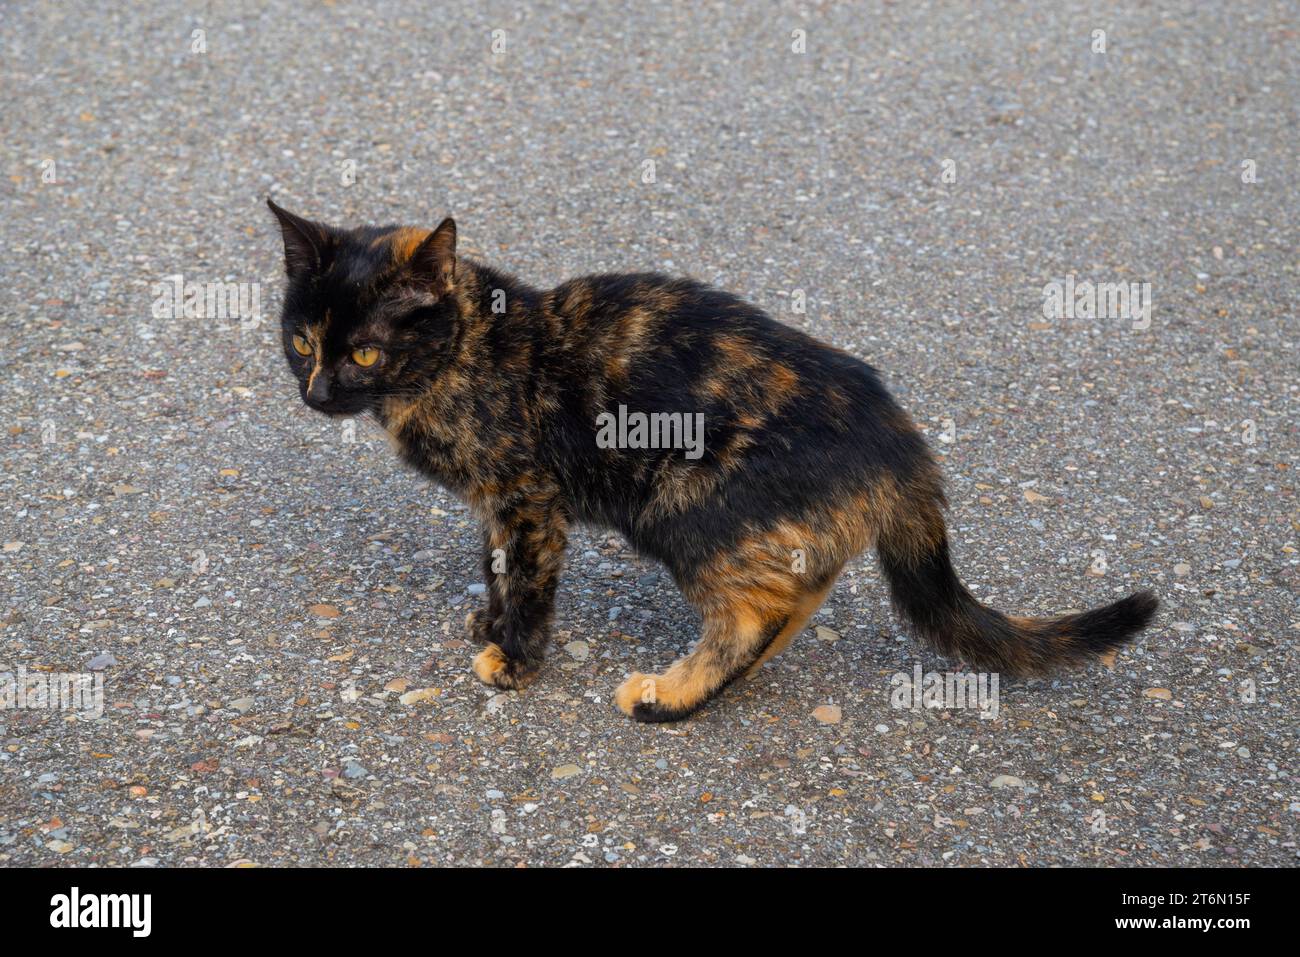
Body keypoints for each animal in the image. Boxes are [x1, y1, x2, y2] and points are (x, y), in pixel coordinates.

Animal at [263, 204, 1159, 722]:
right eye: (302, 341)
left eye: (366, 351)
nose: (315, 394)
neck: (466, 350)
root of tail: (902, 439)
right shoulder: (495, 504)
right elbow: (492, 565)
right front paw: (489, 616)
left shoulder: (527, 498)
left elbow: (526, 579)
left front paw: (514, 657)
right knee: (797, 590)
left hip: (681, 505)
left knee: (752, 612)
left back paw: (671, 695)